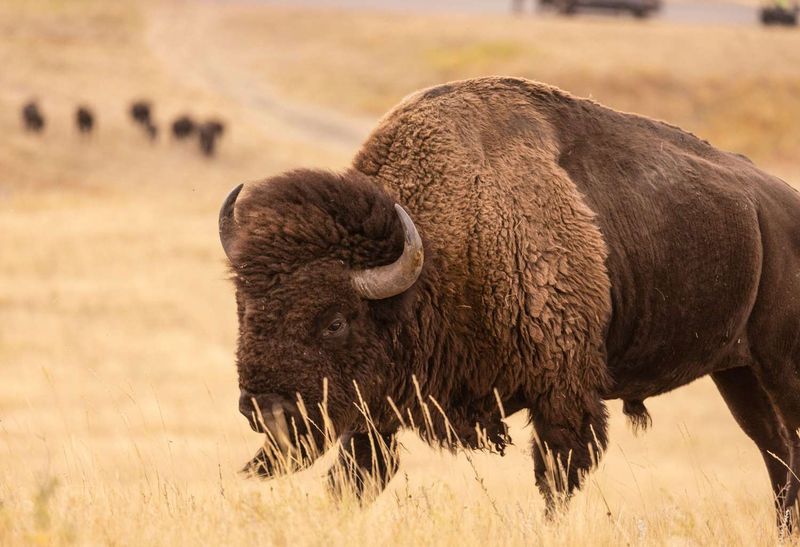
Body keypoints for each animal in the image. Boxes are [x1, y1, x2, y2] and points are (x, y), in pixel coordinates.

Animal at [220, 77, 800, 532]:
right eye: (244, 308)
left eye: (335, 321)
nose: (263, 409)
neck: (445, 248)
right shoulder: (375, 412)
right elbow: (355, 477)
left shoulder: (563, 395)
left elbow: (557, 480)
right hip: (738, 373)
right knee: (775, 452)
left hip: (779, 367)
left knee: (787, 444)